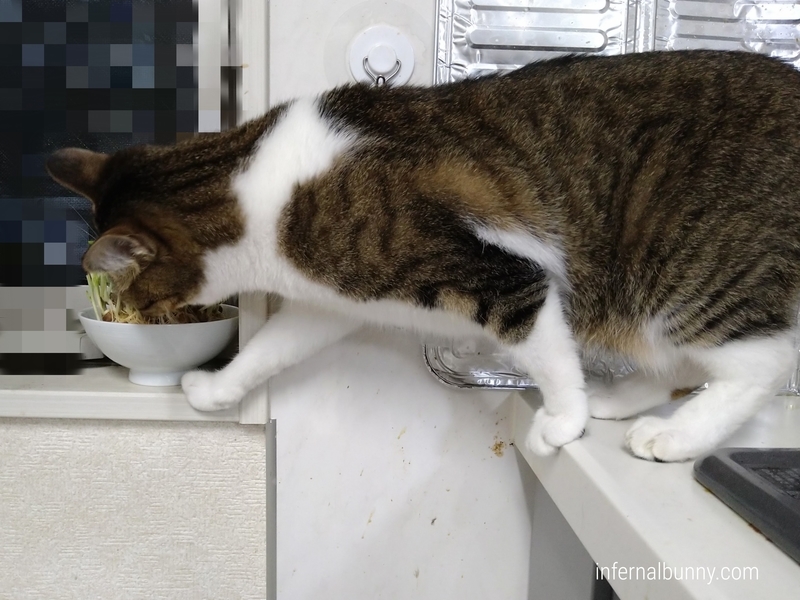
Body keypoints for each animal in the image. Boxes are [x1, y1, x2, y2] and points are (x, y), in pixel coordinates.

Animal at [47, 50, 800, 464]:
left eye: (128, 291)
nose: (128, 308)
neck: (255, 186)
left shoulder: (502, 279)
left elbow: (547, 351)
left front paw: (563, 419)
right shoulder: (332, 300)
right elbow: (271, 349)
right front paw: (216, 389)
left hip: (686, 266)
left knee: (760, 362)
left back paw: (673, 437)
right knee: (683, 361)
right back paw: (622, 402)